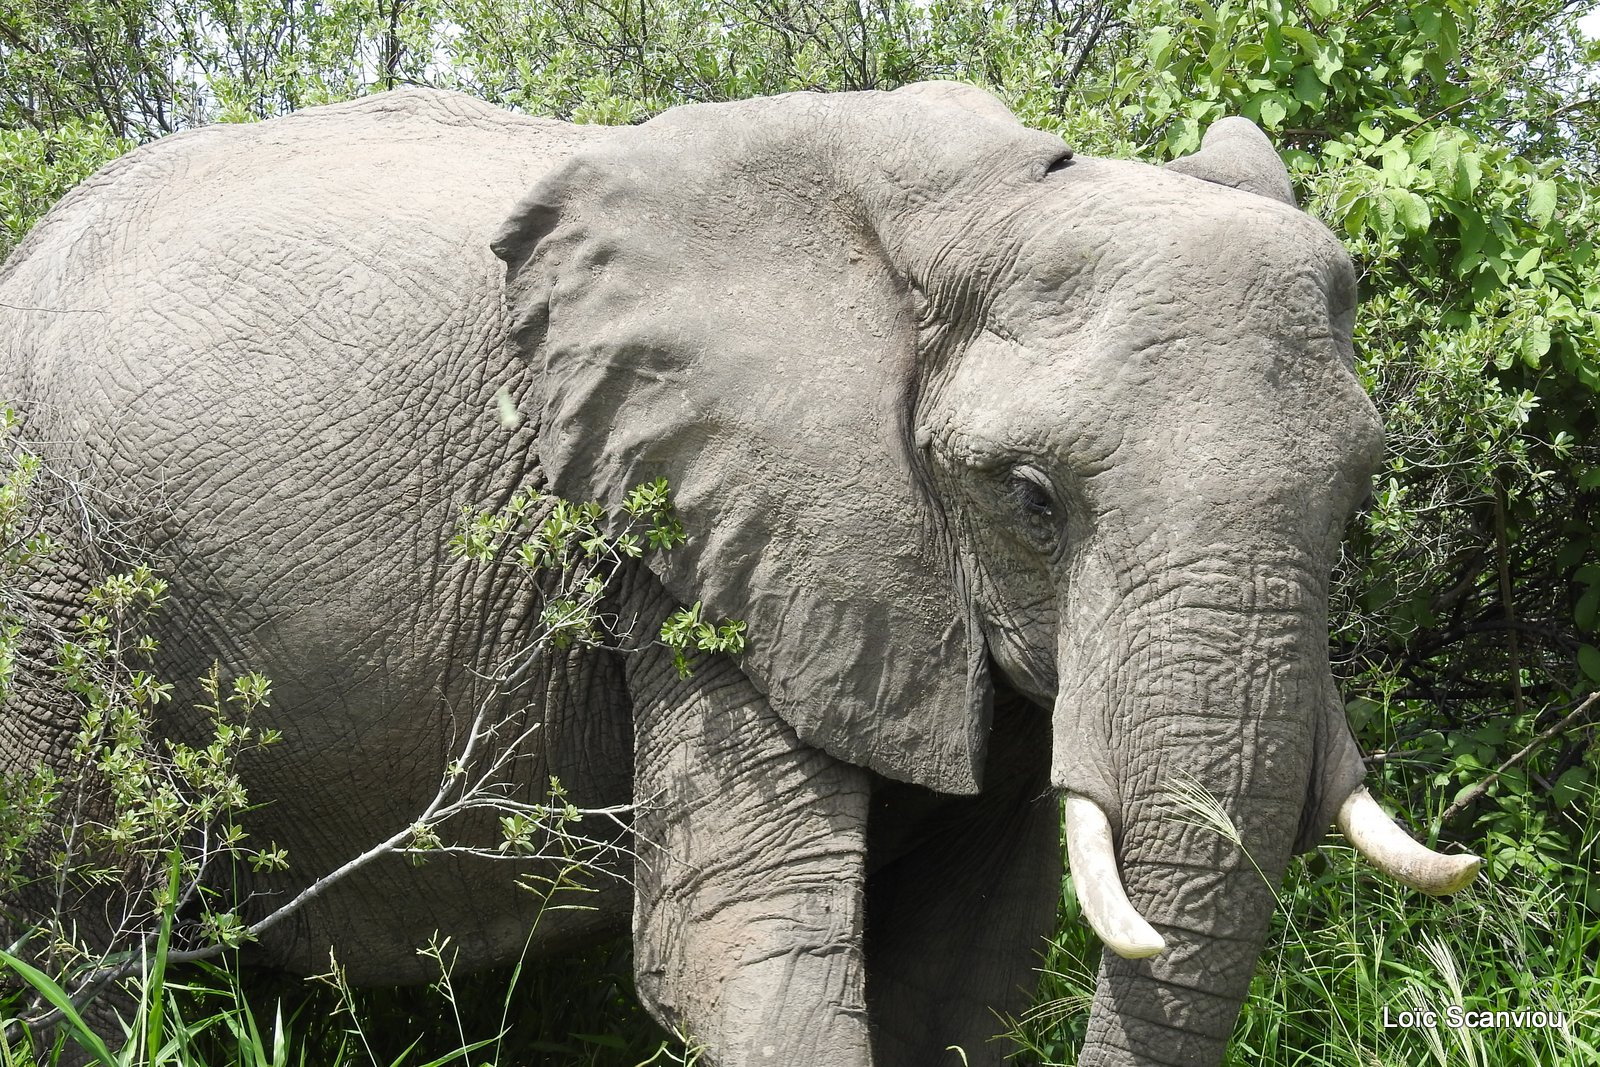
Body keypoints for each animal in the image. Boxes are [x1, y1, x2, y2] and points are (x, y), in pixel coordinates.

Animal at [0, 83, 1478, 1067]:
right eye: (1030, 498)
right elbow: (746, 952)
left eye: (1358, 494)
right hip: (49, 574)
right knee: (70, 925)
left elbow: (957, 971)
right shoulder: (703, 537)